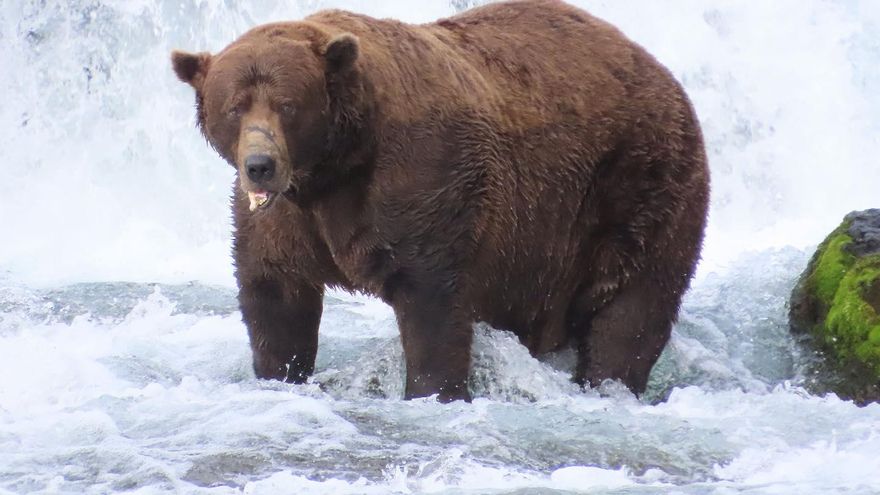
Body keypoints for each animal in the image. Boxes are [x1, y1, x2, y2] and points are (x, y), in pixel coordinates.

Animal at [171, 0, 710, 402]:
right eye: (234, 106)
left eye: (288, 105)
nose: (260, 164)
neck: (335, 168)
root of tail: (661, 70)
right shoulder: (286, 219)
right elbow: (275, 293)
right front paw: (280, 372)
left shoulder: (423, 180)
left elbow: (431, 299)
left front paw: (433, 390)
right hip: (542, 248)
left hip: (637, 184)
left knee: (633, 307)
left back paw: (609, 382)